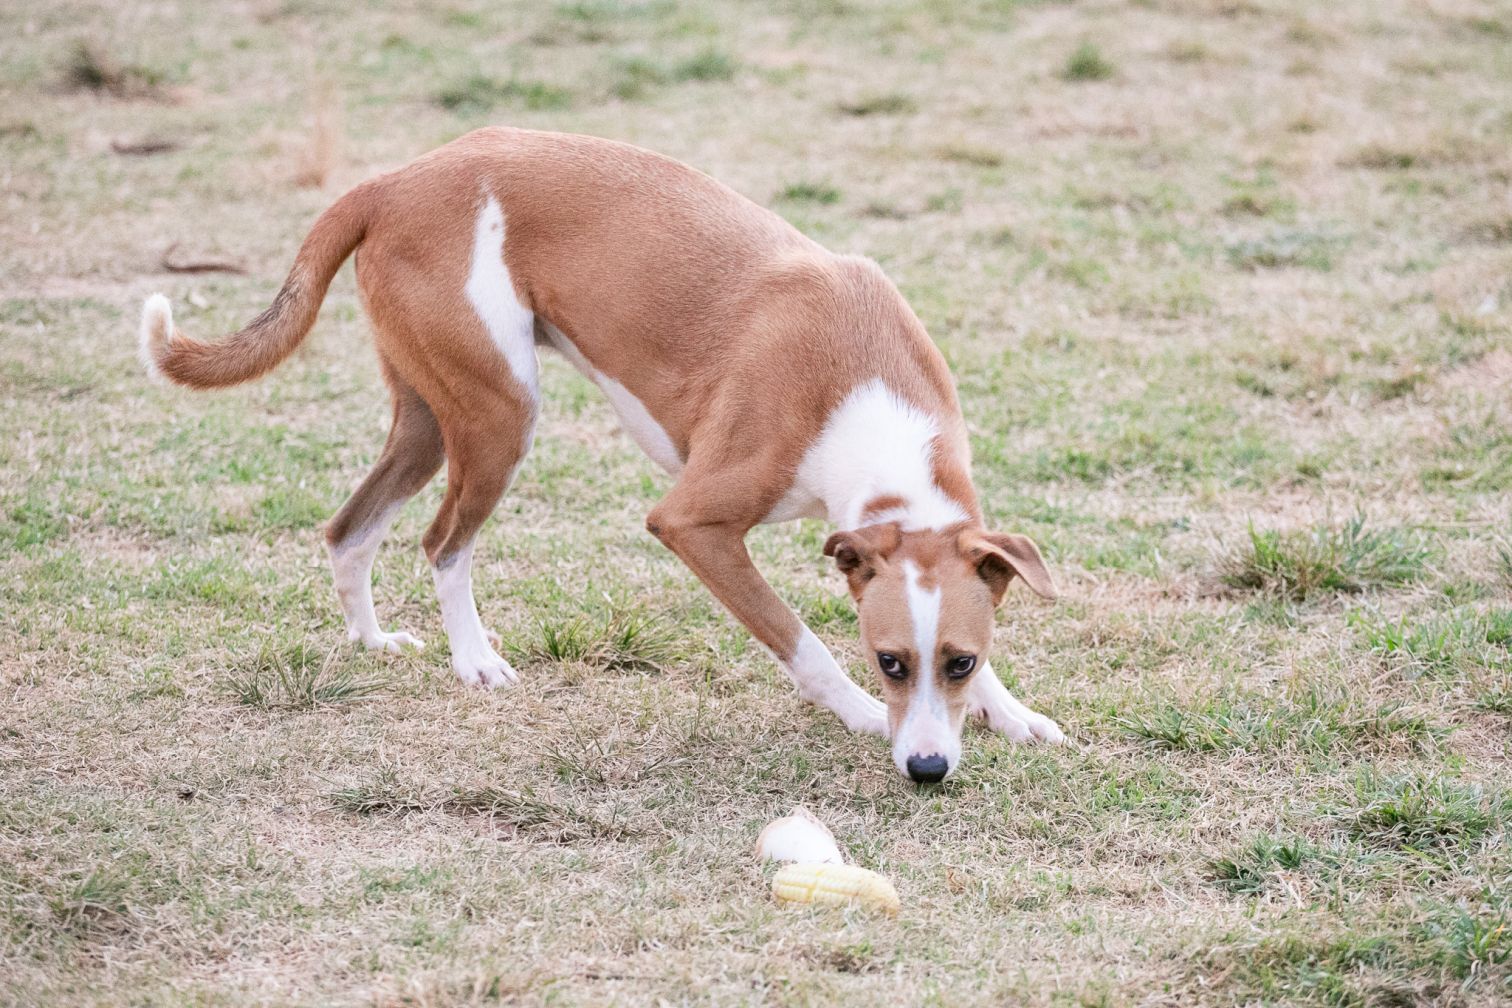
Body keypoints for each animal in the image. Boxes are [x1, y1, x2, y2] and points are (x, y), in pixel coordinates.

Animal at [142, 126, 1064, 785]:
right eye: (887, 663)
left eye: (958, 661)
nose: (928, 768)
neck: (865, 398)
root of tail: (394, 180)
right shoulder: (693, 523)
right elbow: (795, 636)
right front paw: (861, 715)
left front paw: (1009, 712)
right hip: (501, 417)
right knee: (443, 543)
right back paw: (475, 660)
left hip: (429, 420)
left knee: (349, 529)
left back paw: (372, 641)